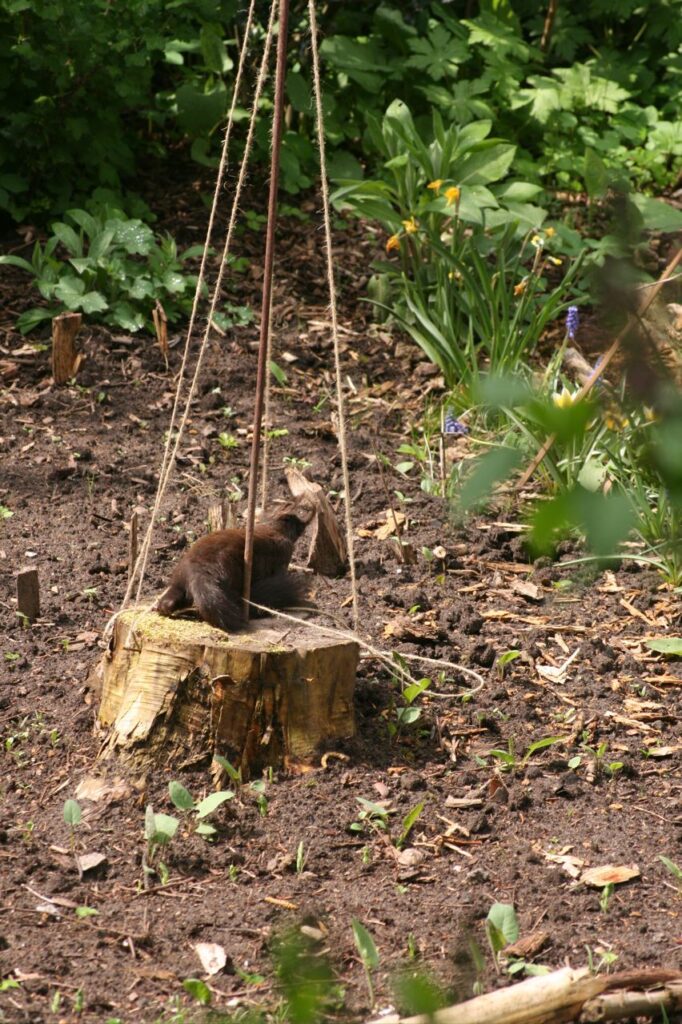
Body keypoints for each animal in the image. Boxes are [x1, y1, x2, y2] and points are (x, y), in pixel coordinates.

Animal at [156, 502, 313, 632]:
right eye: (298, 519)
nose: (306, 521)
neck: (273, 528)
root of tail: (197, 571)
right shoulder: (283, 558)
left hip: (178, 584)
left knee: (167, 604)